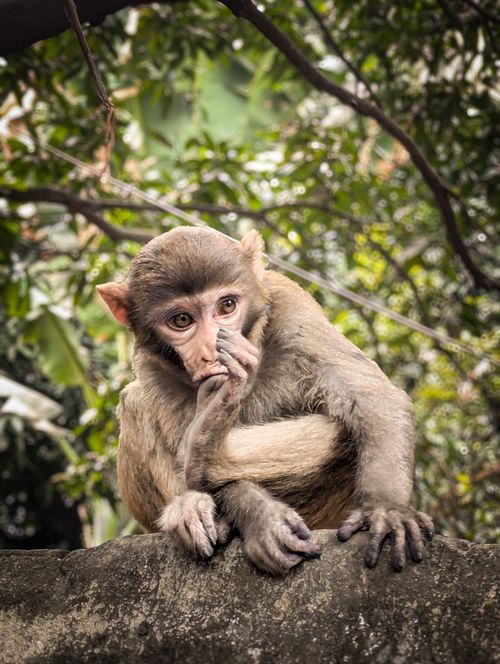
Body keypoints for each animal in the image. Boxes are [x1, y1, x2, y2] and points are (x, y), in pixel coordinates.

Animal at [96, 226, 434, 575]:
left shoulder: (292, 306)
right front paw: (259, 515)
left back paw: (208, 452)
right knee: (134, 401)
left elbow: (374, 398)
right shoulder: (151, 364)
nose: (212, 349)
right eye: (181, 320)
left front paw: (387, 509)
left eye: (227, 305)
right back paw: (197, 492)